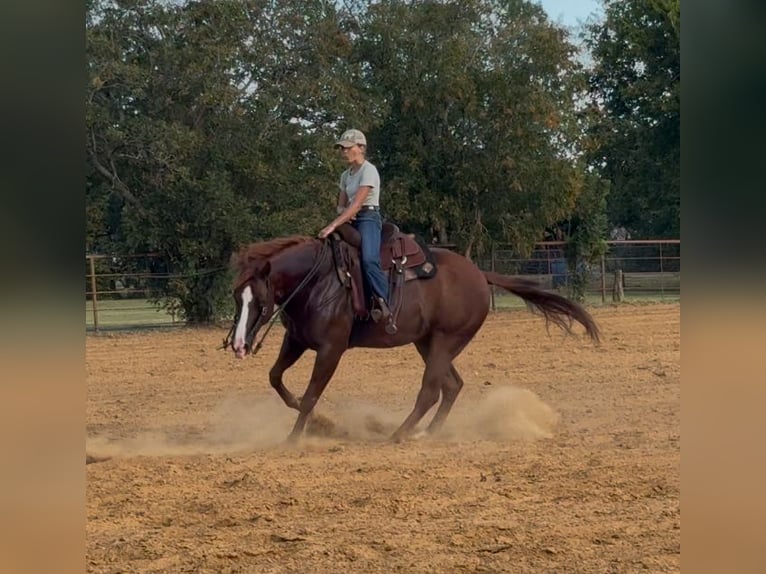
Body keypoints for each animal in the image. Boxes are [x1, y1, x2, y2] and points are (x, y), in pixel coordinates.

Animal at [225, 230, 600, 442]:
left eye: (259, 301)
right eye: (236, 297)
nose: (239, 344)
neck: (318, 280)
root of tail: (481, 275)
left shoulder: (331, 349)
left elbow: (312, 393)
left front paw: (295, 436)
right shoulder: (297, 341)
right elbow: (276, 378)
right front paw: (315, 420)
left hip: (446, 341)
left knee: (431, 390)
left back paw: (400, 434)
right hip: (428, 342)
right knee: (451, 386)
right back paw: (428, 432)